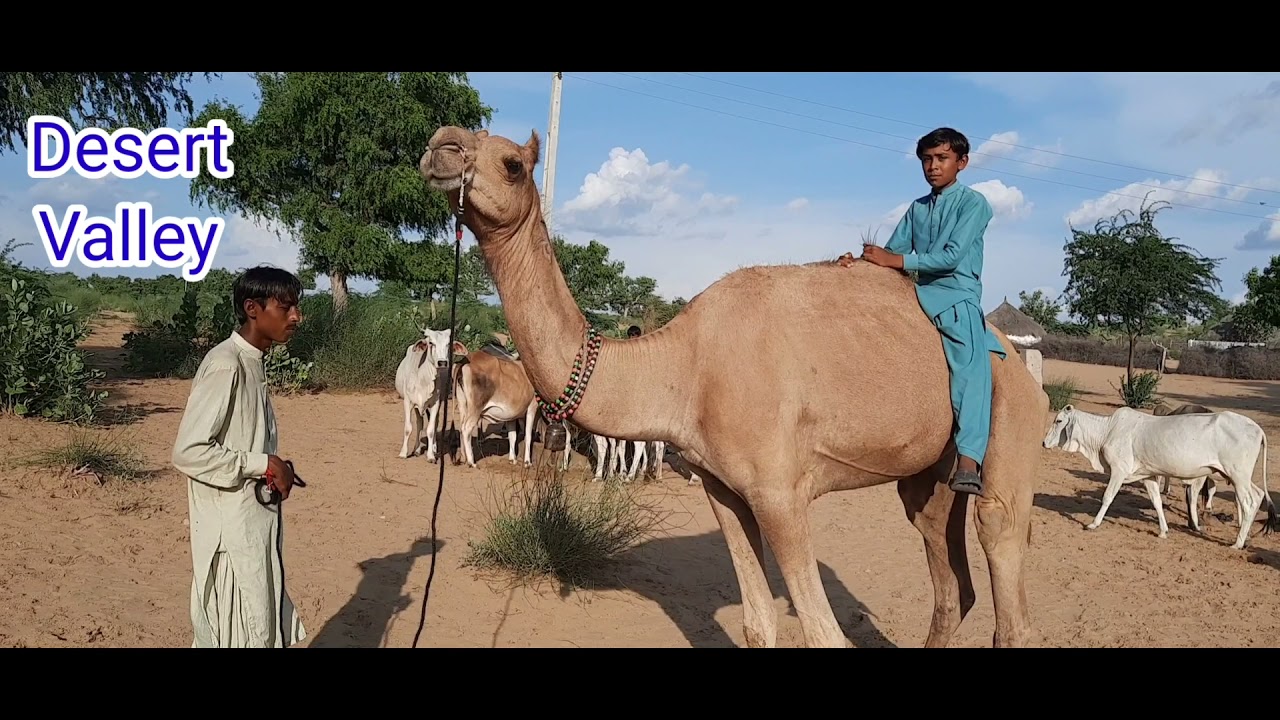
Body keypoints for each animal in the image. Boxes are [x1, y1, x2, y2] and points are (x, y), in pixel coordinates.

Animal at [418, 126, 1049, 648]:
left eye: (511, 164)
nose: (440, 146)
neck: (685, 368)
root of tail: (1021, 364)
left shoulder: (780, 492)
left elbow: (823, 634)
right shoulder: (722, 488)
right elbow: (757, 623)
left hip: (1007, 425)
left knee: (1006, 574)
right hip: (926, 477)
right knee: (947, 576)